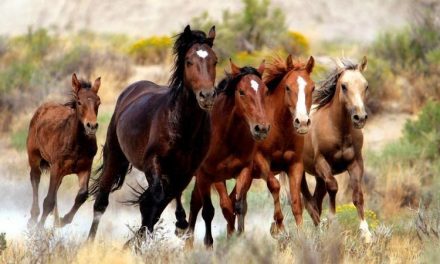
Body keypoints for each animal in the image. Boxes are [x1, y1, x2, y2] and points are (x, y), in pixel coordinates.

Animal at [27, 73, 102, 228]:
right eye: (79, 102)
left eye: (98, 102)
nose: (91, 126)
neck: (76, 144)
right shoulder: (57, 167)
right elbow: (48, 200)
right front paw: (39, 229)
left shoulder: (85, 168)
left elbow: (82, 195)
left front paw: (62, 221)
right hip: (34, 156)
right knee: (35, 178)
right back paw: (33, 218)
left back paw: (54, 220)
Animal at [87, 25, 217, 239]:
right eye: (189, 61)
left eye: (215, 60)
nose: (207, 96)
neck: (182, 126)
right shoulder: (153, 162)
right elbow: (156, 197)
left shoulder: (187, 170)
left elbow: (159, 202)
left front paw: (176, 224)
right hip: (114, 155)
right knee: (101, 202)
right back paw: (89, 242)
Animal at [186, 59, 272, 248]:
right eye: (242, 92)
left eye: (265, 91)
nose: (261, 128)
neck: (227, 136)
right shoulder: (213, 175)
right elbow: (219, 208)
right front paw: (210, 244)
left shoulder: (245, 171)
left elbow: (238, 206)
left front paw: (236, 238)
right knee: (197, 205)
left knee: (195, 202)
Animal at [215, 54, 314, 236]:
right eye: (288, 88)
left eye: (313, 88)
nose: (302, 122)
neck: (279, 128)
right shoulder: (261, 161)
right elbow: (274, 185)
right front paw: (279, 226)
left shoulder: (295, 164)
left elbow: (296, 201)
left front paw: (301, 235)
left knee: (234, 203)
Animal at [300, 57, 372, 241]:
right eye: (344, 86)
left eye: (366, 85)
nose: (360, 118)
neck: (338, 130)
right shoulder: (322, 163)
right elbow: (333, 187)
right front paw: (331, 221)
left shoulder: (356, 163)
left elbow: (358, 195)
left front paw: (366, 233)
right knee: (306, 202)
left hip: (318, 178)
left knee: (315, 201)